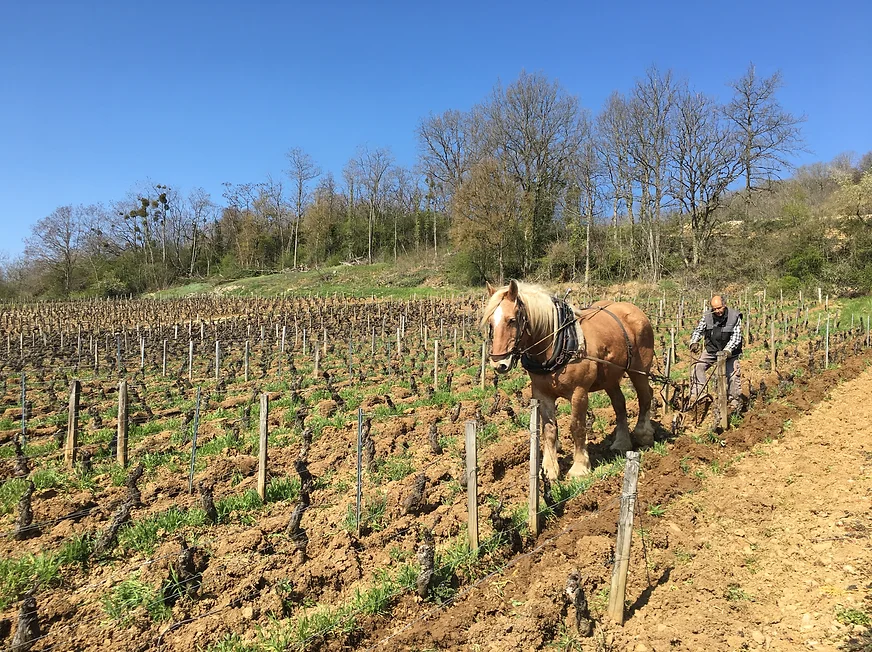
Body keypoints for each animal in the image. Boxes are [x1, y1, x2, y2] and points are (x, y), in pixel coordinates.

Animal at [484, 278, 656, 482]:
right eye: (491, 323)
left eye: (511, 320)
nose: (499, 364)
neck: (558, 345)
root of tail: (634, 309)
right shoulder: (542, 393)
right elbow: (549, 430)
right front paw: (549, 470)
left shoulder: (579, 392)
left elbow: (577, 426)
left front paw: (579, 468)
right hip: (610, 378)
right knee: (619, 404)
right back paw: (621, 443)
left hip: (640, 370)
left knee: (645, 396)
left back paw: (644, 435)